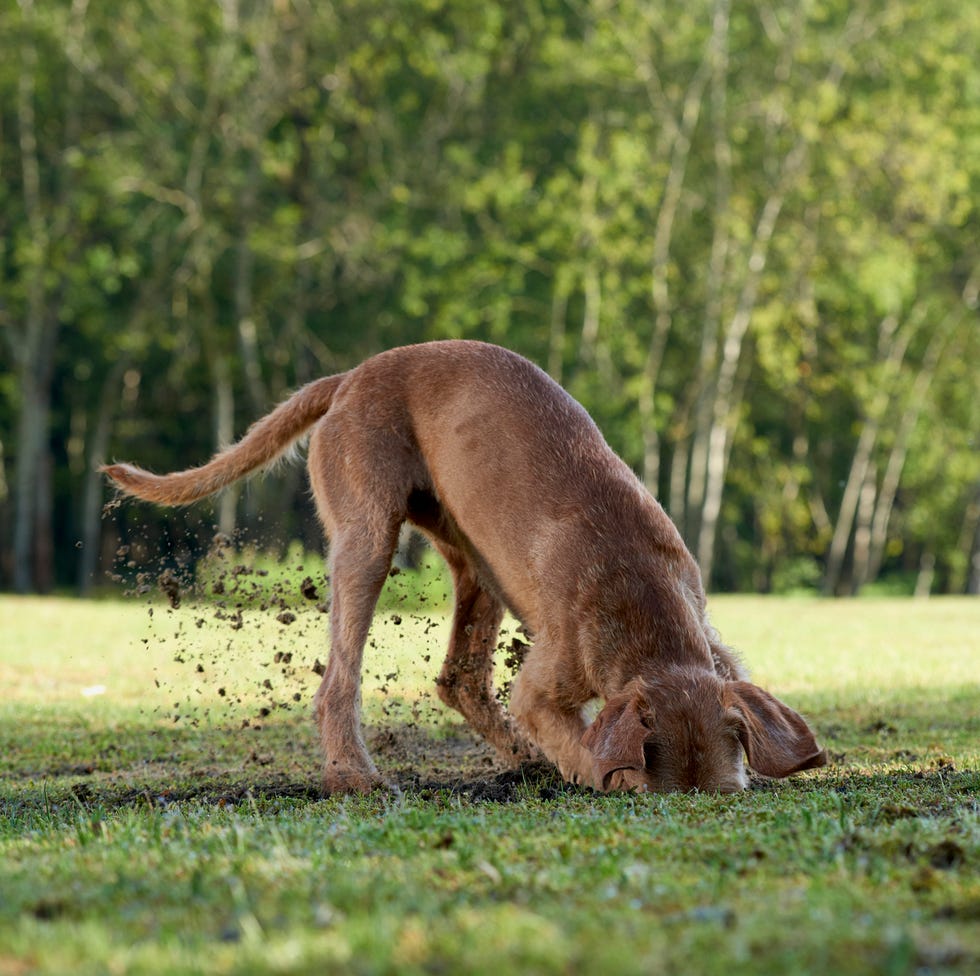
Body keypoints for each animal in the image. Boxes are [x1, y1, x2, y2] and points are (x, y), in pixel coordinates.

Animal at [103, 342, 824, 792]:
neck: (644, 607)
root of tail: (351, 377)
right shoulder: (545, 685)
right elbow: (584, 747)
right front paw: (598, 773)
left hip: (476, 564)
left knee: (460, 679)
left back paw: (520, 760)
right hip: (367, 537)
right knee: (339, 680)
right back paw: (353, 775)